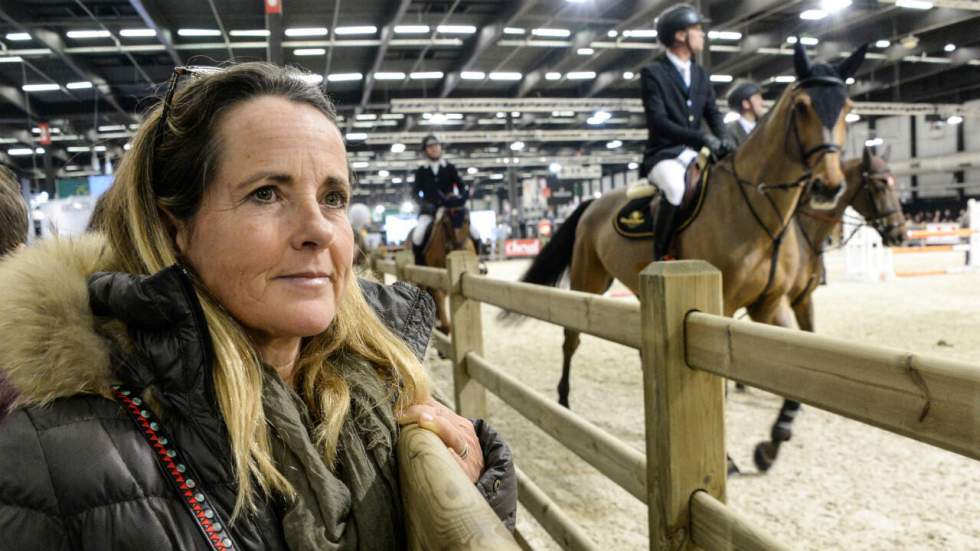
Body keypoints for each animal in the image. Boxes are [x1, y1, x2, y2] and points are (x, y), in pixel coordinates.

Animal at [512, 42, 864, 410]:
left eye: (848, 108)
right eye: (801, 106)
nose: (828, 186)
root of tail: (593, 202)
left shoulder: (769, 304)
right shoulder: (720, 306)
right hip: (588, 280)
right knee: (571, 336)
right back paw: (563, 399)